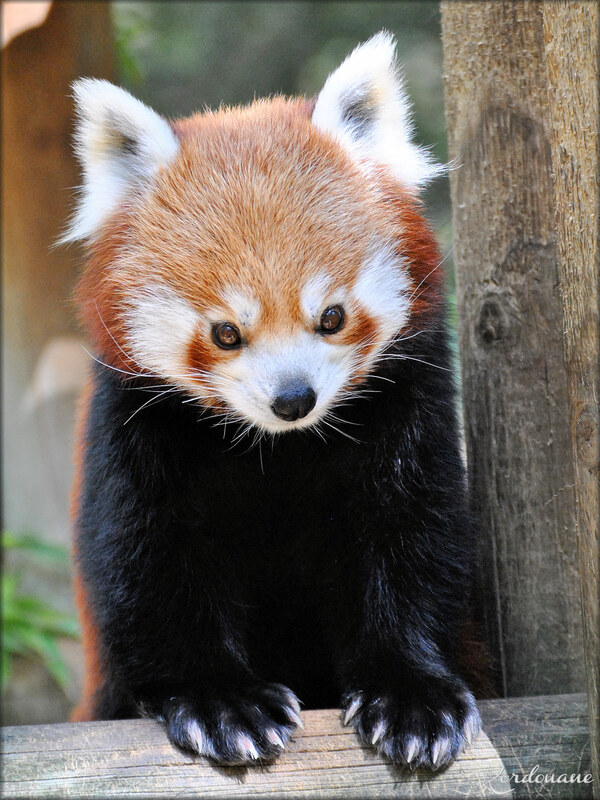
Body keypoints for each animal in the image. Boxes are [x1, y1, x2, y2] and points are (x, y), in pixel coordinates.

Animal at [63, 32, 480, 768]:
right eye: (226, 332)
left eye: (332, 317)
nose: (293, 399)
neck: (278, 450)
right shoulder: (132, 423)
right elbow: (148, 566)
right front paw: (220, 700)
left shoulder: (412, 403)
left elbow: (414, 540)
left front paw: (413, 695)